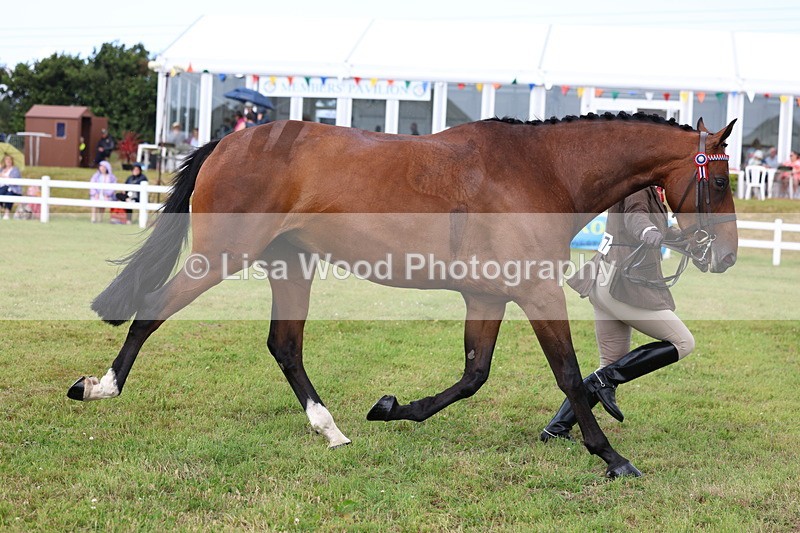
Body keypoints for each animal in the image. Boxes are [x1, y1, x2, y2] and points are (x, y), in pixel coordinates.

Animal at [68, 112, 738, 478]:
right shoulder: (536, 291)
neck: (542, 171)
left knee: (285, 344)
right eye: (724, 181)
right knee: (154, 312)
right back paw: (100, 386)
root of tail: (228, 142)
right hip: (220, 257)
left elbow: (473, 375)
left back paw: (331, 428)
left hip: (291, 264)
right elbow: (570, 375)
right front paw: (612, 457)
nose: (725, 255)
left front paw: (391, 408)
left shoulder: (487, 296)